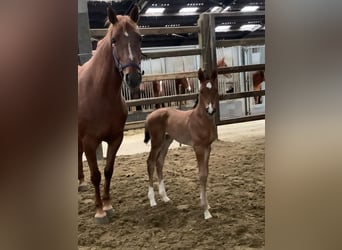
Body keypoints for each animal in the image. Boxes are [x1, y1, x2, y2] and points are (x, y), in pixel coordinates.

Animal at [77, 5, 142, 224]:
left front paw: (107, 205)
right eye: (114, 40)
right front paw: (99, 211)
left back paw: (80, 183)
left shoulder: (115, 138)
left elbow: (107, 171)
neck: (99, 92)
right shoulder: (89, 141)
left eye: (139, 38)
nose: (133, 78)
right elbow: (96, 174)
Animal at [143, 68, 218, 219]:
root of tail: (149, 116)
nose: (210, 110)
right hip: (157, 141)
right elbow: (201, 174)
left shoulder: (208, 147)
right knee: (151, 162)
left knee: (159, 162)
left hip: (167, 141)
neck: (201, 120)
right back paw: (152, 200)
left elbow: (206, 173)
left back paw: (165, 197)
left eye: (215, 90)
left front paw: (206, 204)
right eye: (201, 91)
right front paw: (206, 211)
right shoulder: (198, 147)